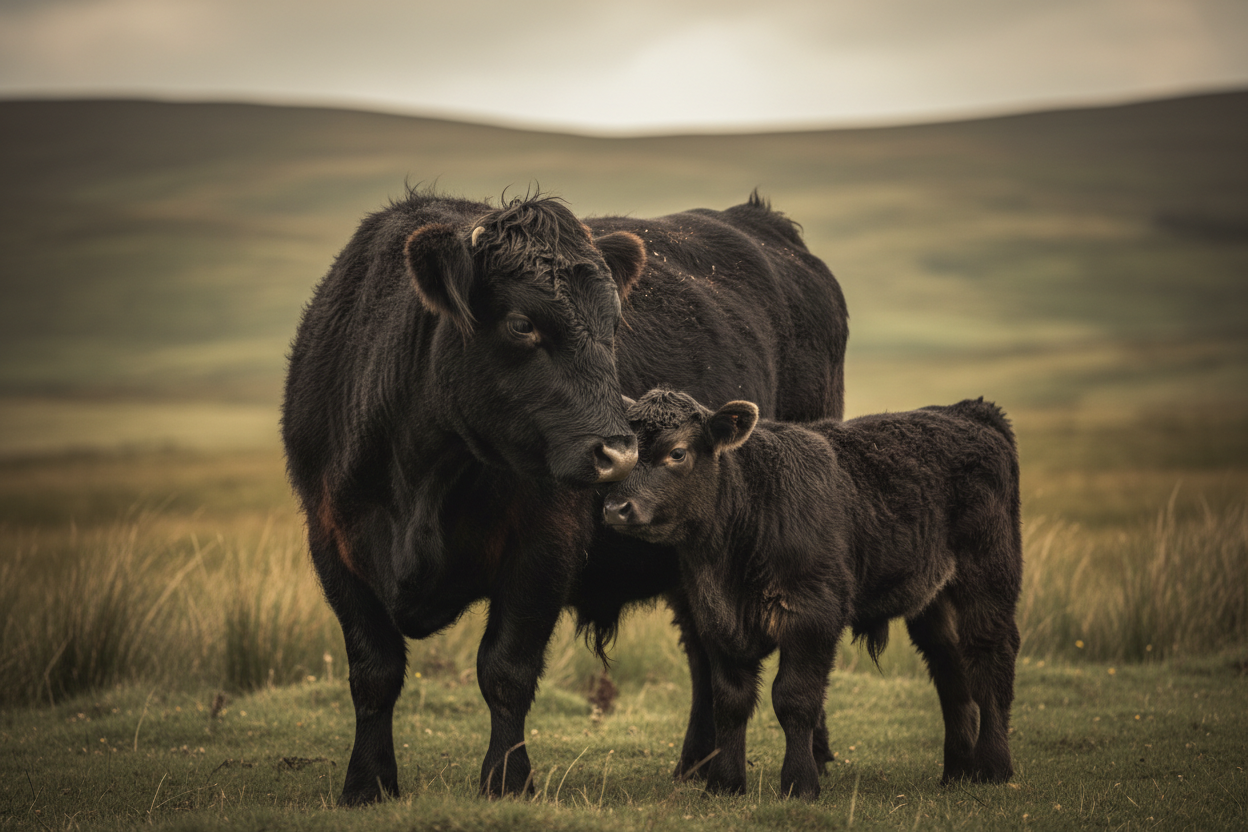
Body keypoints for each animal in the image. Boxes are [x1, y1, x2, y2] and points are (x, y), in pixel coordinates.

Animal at [281, 188, 847, 805]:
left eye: (614, 325)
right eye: (521, 323)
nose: (620, 454)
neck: (421, 480)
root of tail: (761, 220)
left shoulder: (542, 548)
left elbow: (505, 671)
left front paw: (506, 782)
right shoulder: (332, 544)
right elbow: (373, 672)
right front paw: (367, 783)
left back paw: (813, 756)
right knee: (704, 652)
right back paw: (699, 764)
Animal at [602, 390, 1022, 799]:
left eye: (677, 453)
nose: (615, 508)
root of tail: (967, 411)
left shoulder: (813, 616)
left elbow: (794, 699)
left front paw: (800, 783)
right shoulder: (716, 619)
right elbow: (730, 702)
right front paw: (724, 784)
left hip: (989, 576)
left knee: (990, 656)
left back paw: (993, 767)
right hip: (931, 599)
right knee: (951, 668)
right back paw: (958, 771)